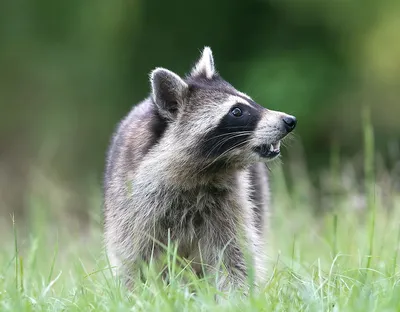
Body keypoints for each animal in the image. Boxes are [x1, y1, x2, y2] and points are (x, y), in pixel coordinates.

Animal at [103, 46, 296, 292]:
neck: (204, 170)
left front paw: (236, 295)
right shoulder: (133, 205)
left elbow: (233, 256)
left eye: (251, 102)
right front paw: (137, 293)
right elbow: (134, 259)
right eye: (236, 112)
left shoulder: (230, 203)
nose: (289, 120)